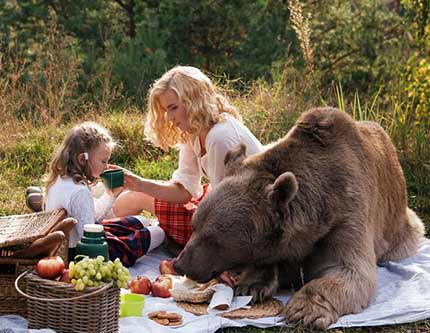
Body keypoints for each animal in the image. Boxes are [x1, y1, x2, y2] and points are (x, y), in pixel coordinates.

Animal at [173, 105, 424, 326]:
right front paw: (252, 283)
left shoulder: (347, 214)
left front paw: (303, 310)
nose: (180, 264)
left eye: (213, 239)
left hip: (401, 227)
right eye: (195, 226)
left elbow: (351, 270)